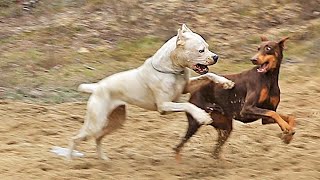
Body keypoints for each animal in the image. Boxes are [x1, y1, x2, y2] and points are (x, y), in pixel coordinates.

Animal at [67, 24, 234, 160]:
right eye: (201, 50)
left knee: (98, 138)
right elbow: (188, 105)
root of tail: (96, 87)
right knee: (76, 138)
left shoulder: (186, 87)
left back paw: (104, 160)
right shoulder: (164, 106)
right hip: (96, 123)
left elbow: (208, 75)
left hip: (116, 121)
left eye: (207, 46)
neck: (172, 69)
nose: (216, 57)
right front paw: (202, 116)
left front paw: (226, 82)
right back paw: (70, 161)